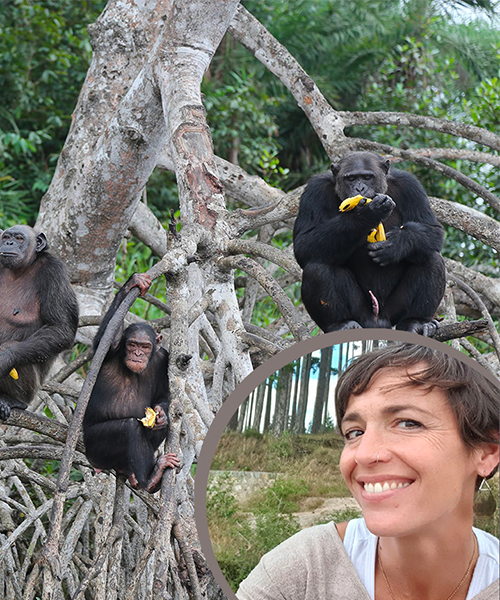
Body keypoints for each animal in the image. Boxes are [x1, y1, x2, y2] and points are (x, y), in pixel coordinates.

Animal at [0, 223, 78, 420]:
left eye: (19, 238)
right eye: (6, 237)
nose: (9, 243)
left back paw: (11, 400)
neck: (21, 269)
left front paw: (4, 358)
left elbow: (61, 328)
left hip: (31, 392)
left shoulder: (55, 272)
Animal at [84, 274, 180, 494]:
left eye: (145, 346)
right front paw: (132, 284)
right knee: (129, 428)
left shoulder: (164, 358)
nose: (137, 354)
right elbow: (105, 340)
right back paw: (151, 479)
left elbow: (164, 394)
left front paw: (161, 414)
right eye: (132, 344)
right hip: (94, 448)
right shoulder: (111, 351)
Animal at [292, 152, 446, 336]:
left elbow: (432, 229)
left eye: (367, 177)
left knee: (431, 259)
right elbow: (304, 243)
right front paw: (367, 213)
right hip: (361, 313)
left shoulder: (410, 186)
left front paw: (395, 245)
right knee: (317, 268)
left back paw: (416, 322)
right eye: (351, 178)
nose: (360, 189)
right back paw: (340, 324)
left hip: (393, 311)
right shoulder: (315, 190)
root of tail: (377, 322)